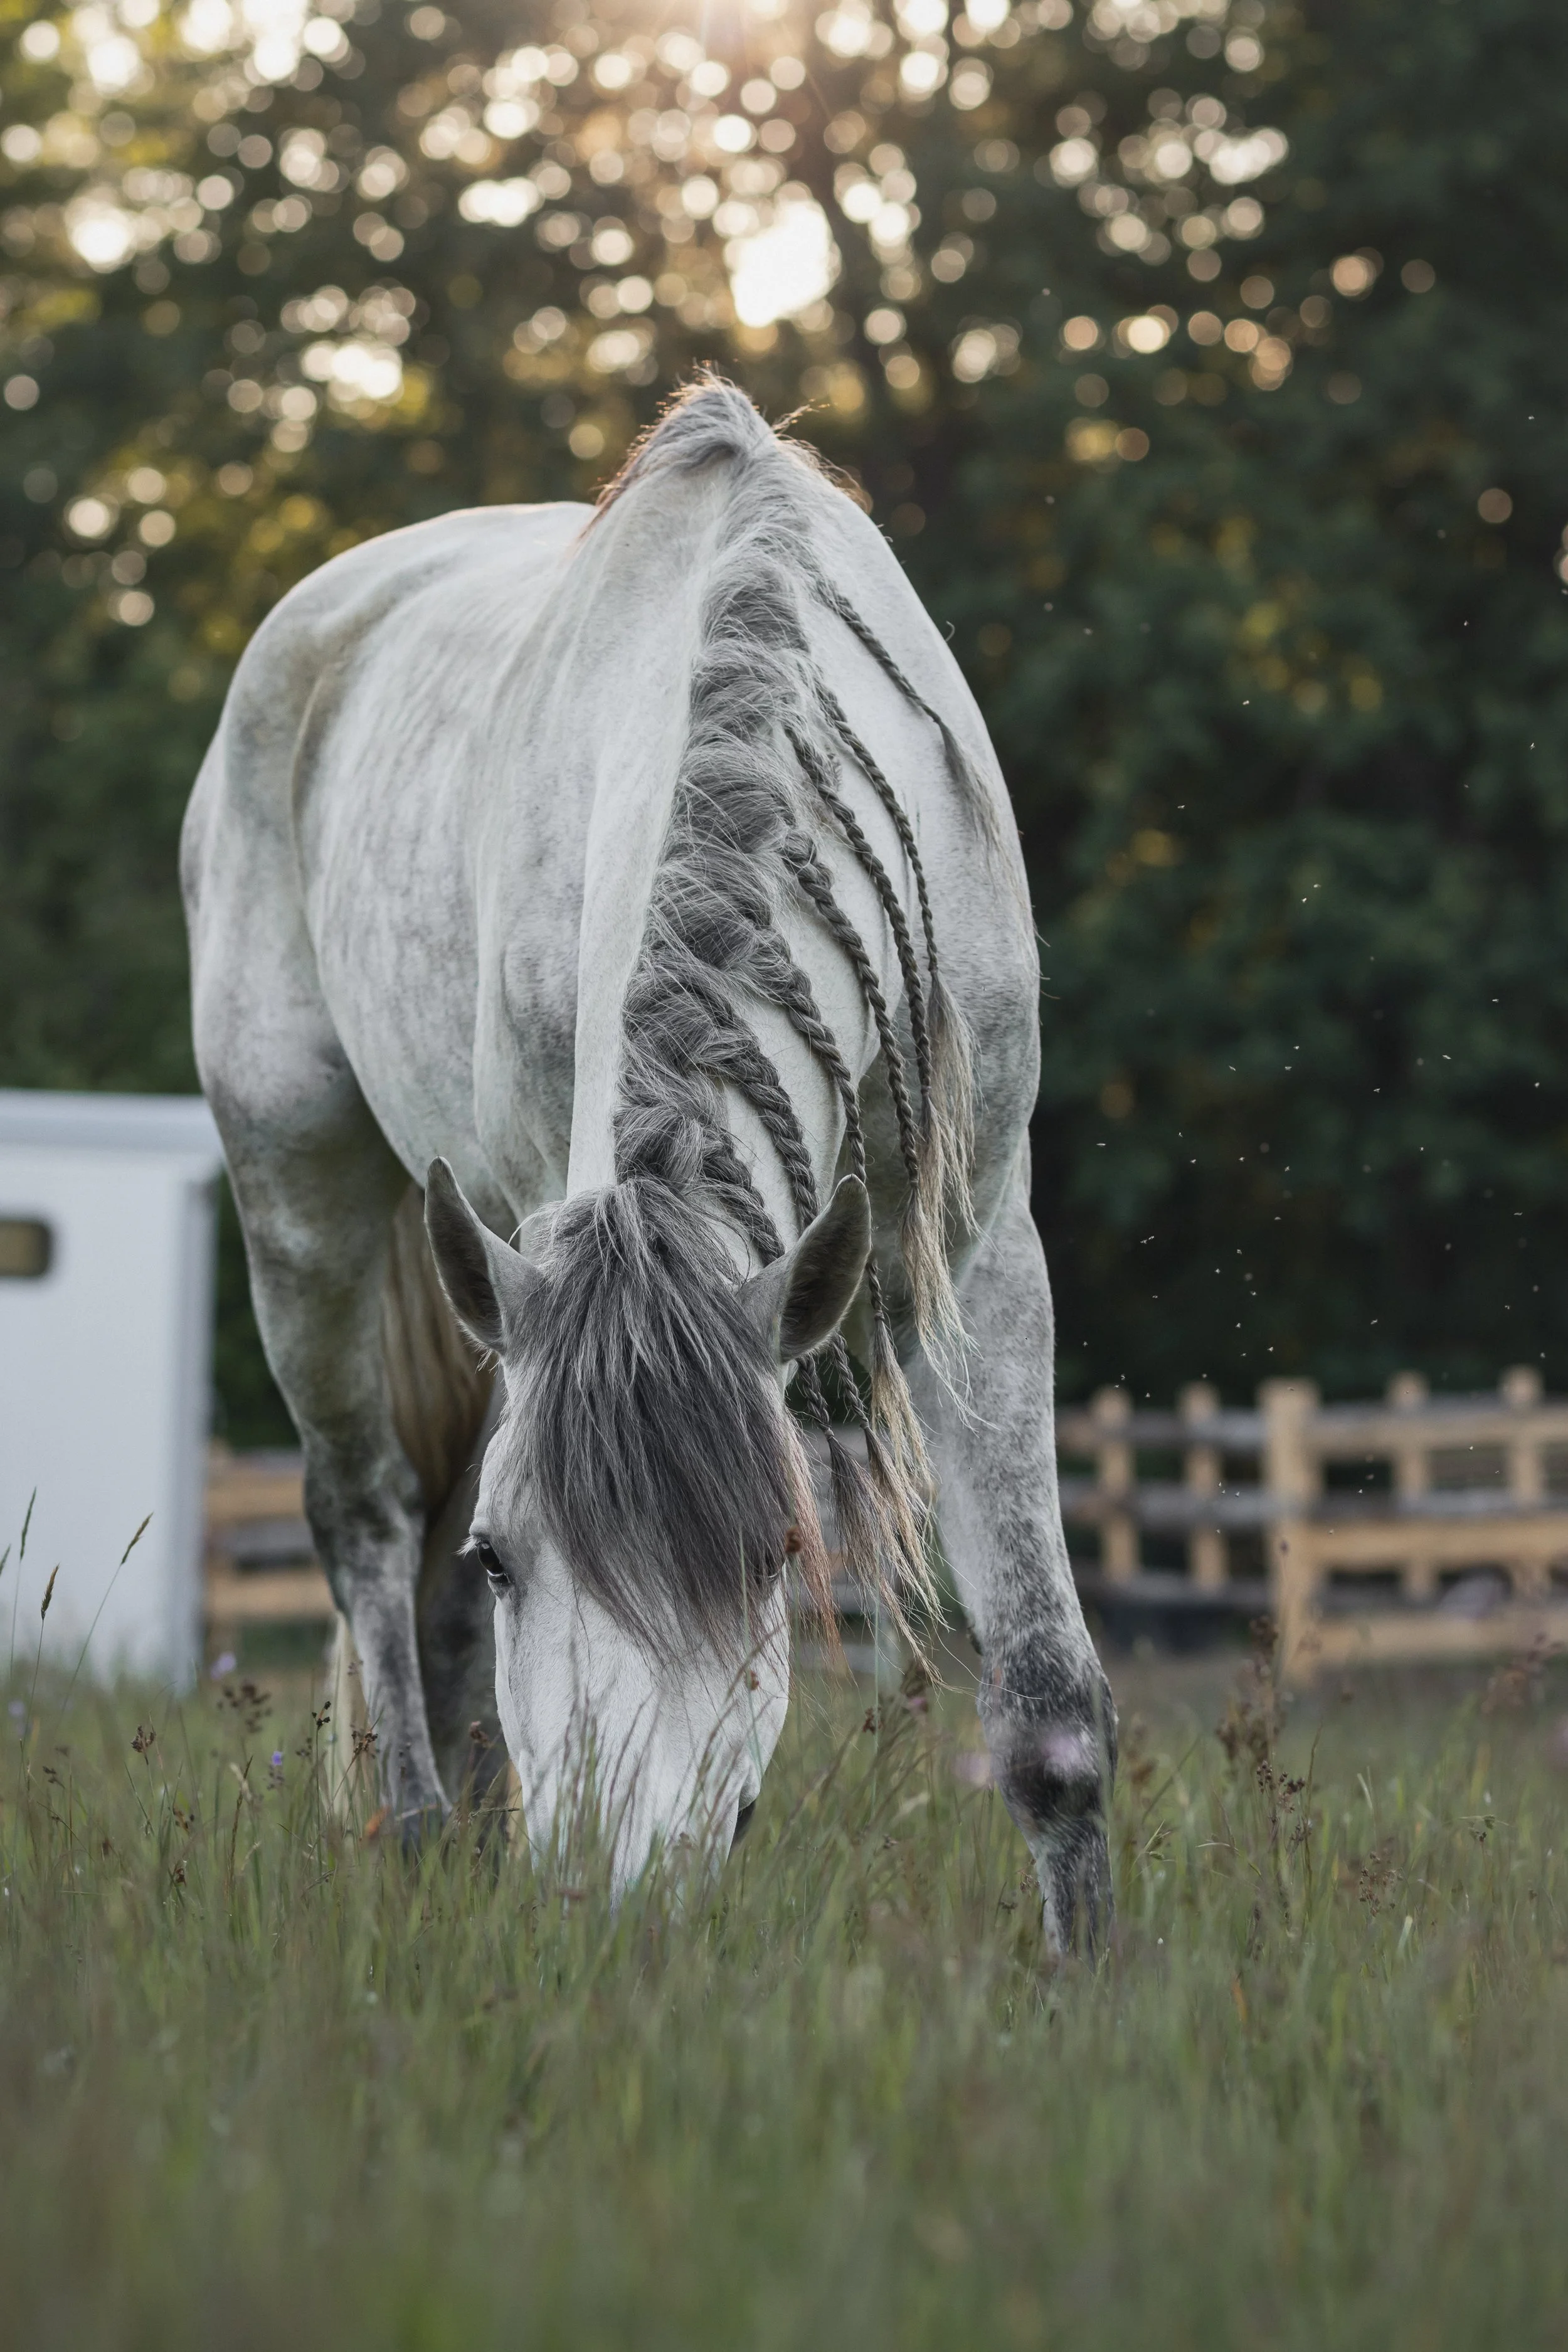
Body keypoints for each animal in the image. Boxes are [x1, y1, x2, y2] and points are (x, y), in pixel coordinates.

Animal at [182, 380, 1115, 1949]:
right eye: (514, 1557)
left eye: (779, 1553)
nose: (609, 1907)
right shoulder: (521, 1238)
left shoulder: (983, 1253)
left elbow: (1048, 1705)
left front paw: (1091, 1977)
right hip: (297, 1195)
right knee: (367, 1523)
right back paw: (426, 1844)